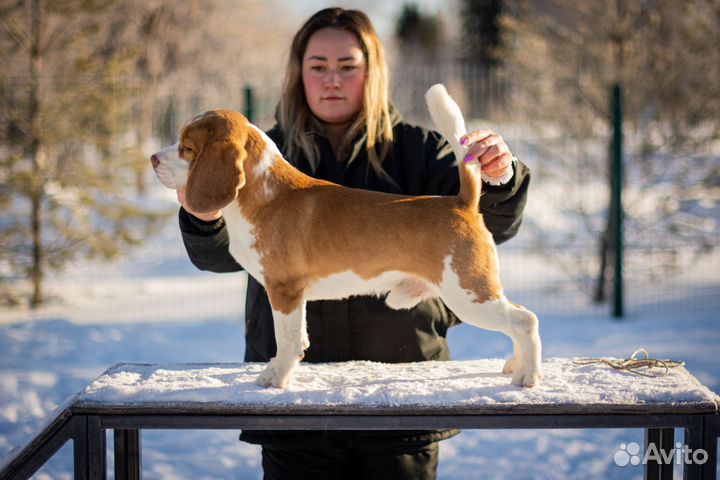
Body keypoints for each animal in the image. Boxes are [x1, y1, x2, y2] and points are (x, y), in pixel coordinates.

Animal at [152, 84, 544, 388]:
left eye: (187, 148)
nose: (154, 159)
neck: (263, 192)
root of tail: (462, 202)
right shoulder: (293, 296)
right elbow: (298, 338)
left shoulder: (284, 289)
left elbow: (286, 339)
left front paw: (276, 377)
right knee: (518, 318)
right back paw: (517, 364)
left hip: (468, 294)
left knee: (525, 319)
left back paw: (529, 375)